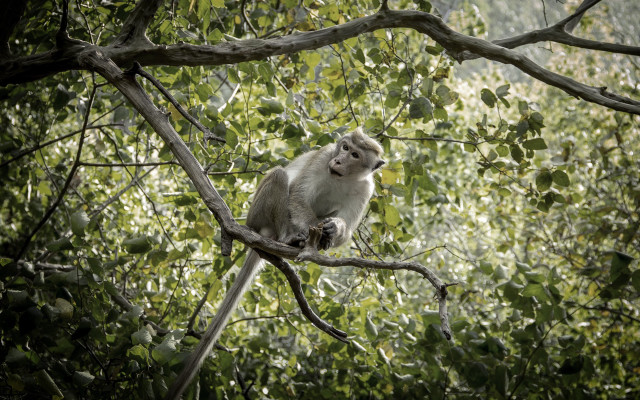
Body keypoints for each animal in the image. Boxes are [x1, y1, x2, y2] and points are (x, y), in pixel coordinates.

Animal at [165, 128, 384, 399]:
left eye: (354, 154)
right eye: (344, 148)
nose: (339, 160)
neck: (342, 177)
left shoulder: (366, 188)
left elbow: (345, 230)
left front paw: (334, 229)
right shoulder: (323, 157)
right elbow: (298, 196)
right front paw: (313, 227)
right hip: (257, 215)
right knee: (280, 177)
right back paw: (289, 237)